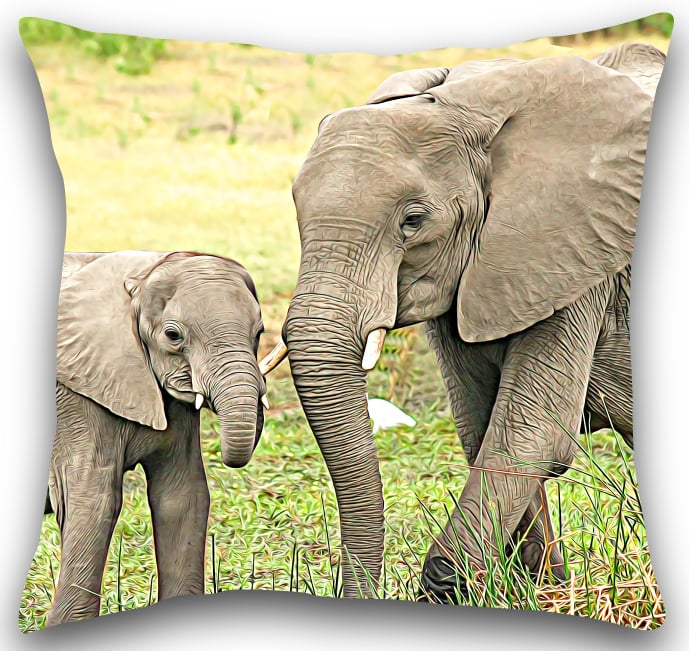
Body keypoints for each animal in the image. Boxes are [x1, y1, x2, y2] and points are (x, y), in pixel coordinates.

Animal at [45, 250, 268, 625]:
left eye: (260, 332)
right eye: (173, 335)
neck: (140, 274)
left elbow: (183, 496)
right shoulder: (74, 398)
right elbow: (94, 501)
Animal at [259, 42, 666, 601]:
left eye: (413, 221)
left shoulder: (574, 256)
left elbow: (530, 435)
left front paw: (453, 590)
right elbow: (481, 424)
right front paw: (539, 594)